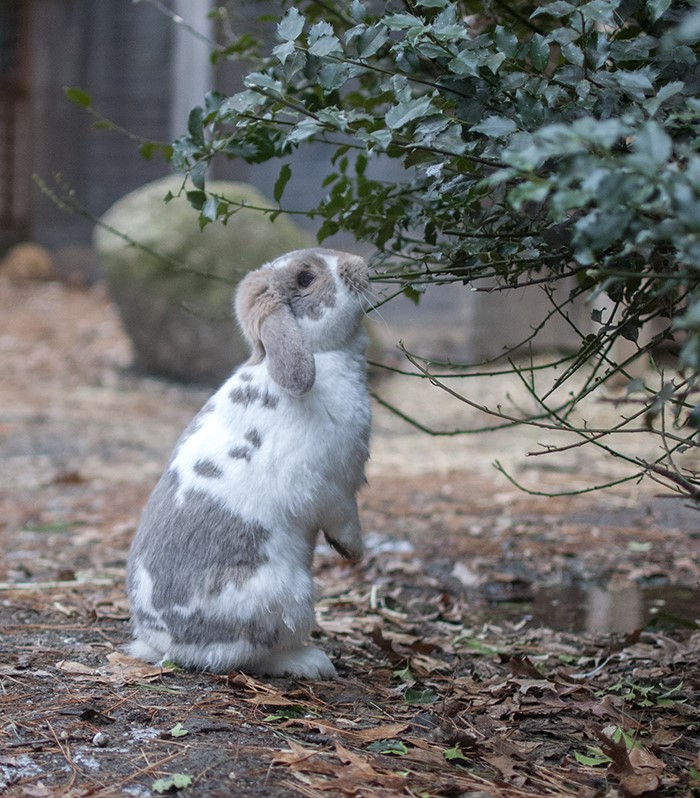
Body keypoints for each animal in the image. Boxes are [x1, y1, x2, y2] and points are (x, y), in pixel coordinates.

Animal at [124, 248, 372, 680]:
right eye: (306, 278)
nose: (359, 264)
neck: (321, 355)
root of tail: (166, 643)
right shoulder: (334, 490)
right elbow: (345, 523)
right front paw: (354, 553)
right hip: (287, 595)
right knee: (251, 655)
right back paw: (311, 662)